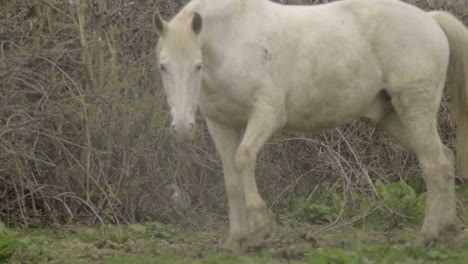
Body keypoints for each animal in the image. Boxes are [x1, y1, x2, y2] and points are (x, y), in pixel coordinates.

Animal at [154, 0, 468, 253]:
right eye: (163, 66)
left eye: (197, 65)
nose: (182, 128)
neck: (234, 40)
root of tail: (430, 19)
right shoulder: (221, 124)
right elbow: (231, 178)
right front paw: (234, 241)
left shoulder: (266, 114)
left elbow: (244, 158)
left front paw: (259, 230)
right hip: (394, 118)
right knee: (444, 159)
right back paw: (449, 234)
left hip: (415, 108)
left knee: (434, 165)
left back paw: (425, 238)